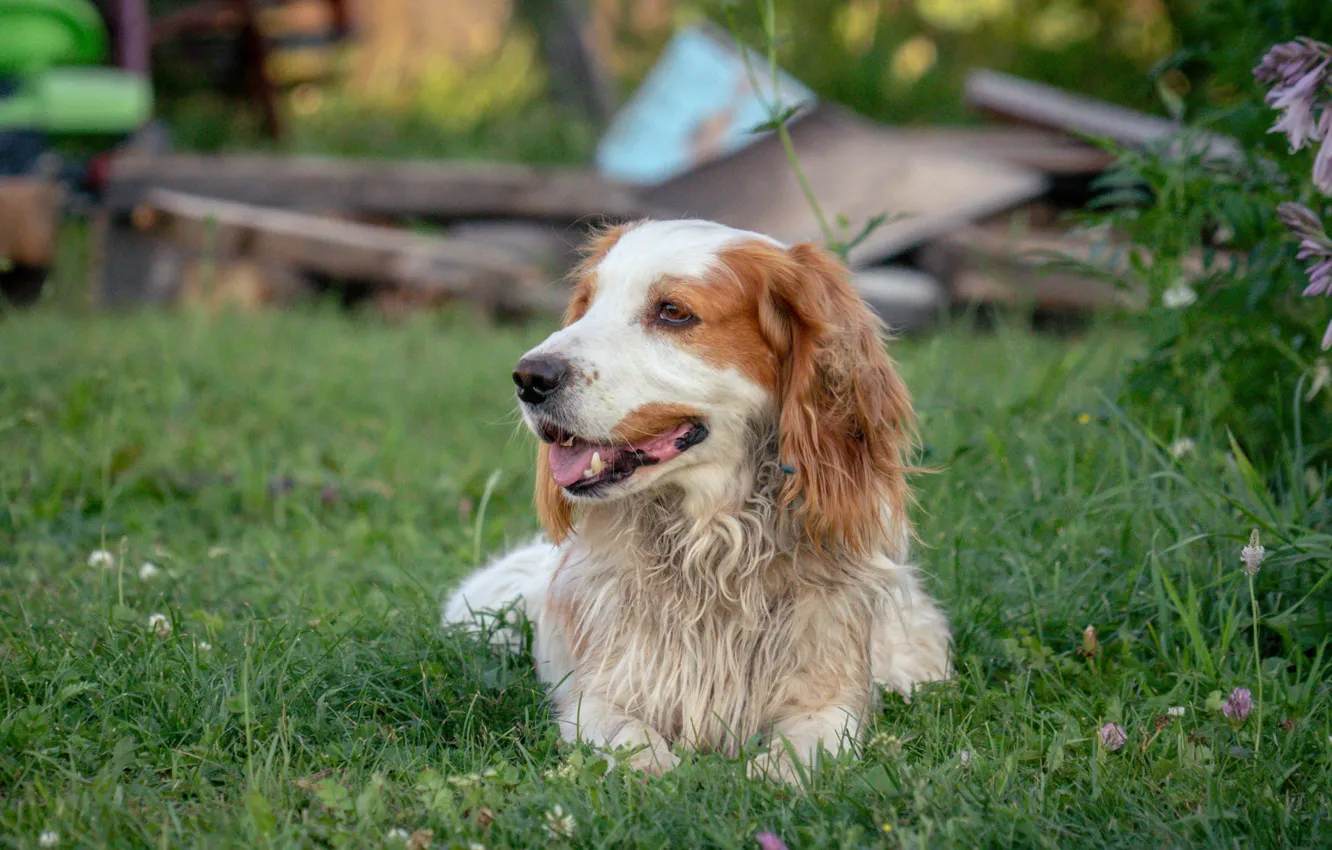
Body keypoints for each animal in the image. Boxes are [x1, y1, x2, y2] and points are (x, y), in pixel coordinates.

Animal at [442, 221, 953, 788]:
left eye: (673, 311)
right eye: (587, 303)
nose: (529, 377)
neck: (710, 548)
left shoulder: (829, 695)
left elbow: (806, 745)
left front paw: (771, 775)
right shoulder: (598, 693)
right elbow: (628, 737)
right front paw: (653, 770)